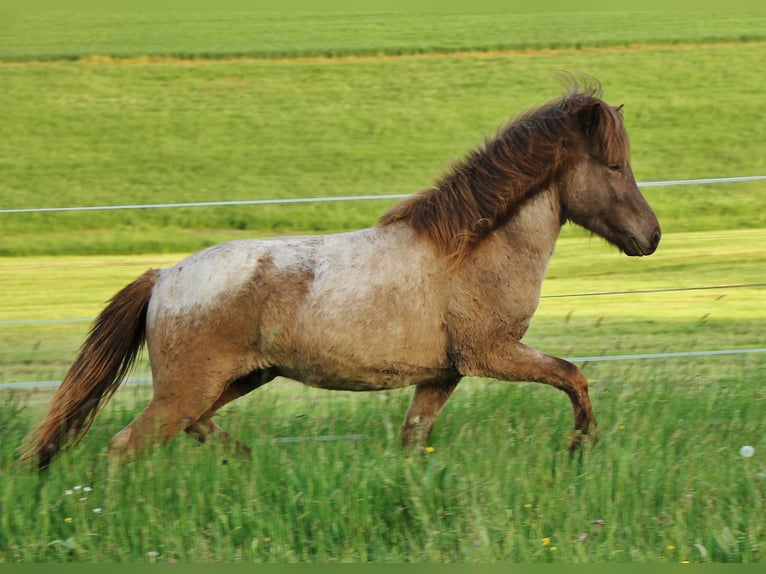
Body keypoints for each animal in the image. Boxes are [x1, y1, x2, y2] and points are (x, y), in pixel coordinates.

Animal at [21, 81, 664, 470]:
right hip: (189, 389)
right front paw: (582, 445)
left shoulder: (444, 375)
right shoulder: (493, 354)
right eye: (614, 165)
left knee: (196, 428)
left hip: (234, 380)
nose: (651, 236)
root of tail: (163, 278)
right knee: (126, 446)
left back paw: (251, 463)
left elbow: (413, 437)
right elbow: (574, 375)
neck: (472, 254)